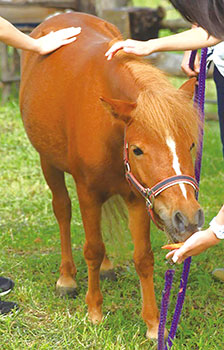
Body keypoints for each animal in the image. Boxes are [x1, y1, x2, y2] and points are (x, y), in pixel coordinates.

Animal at [20, 13, 204, 340]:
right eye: (138, 150)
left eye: (191, 144)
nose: (188, 218)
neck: (106, 121)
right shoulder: (88, 192)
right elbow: (92, 248)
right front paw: (94, 311)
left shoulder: (139, 196)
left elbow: (143, 257)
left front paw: (153, 323)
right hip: (49, 164)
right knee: (62, 211)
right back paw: (67, 278)